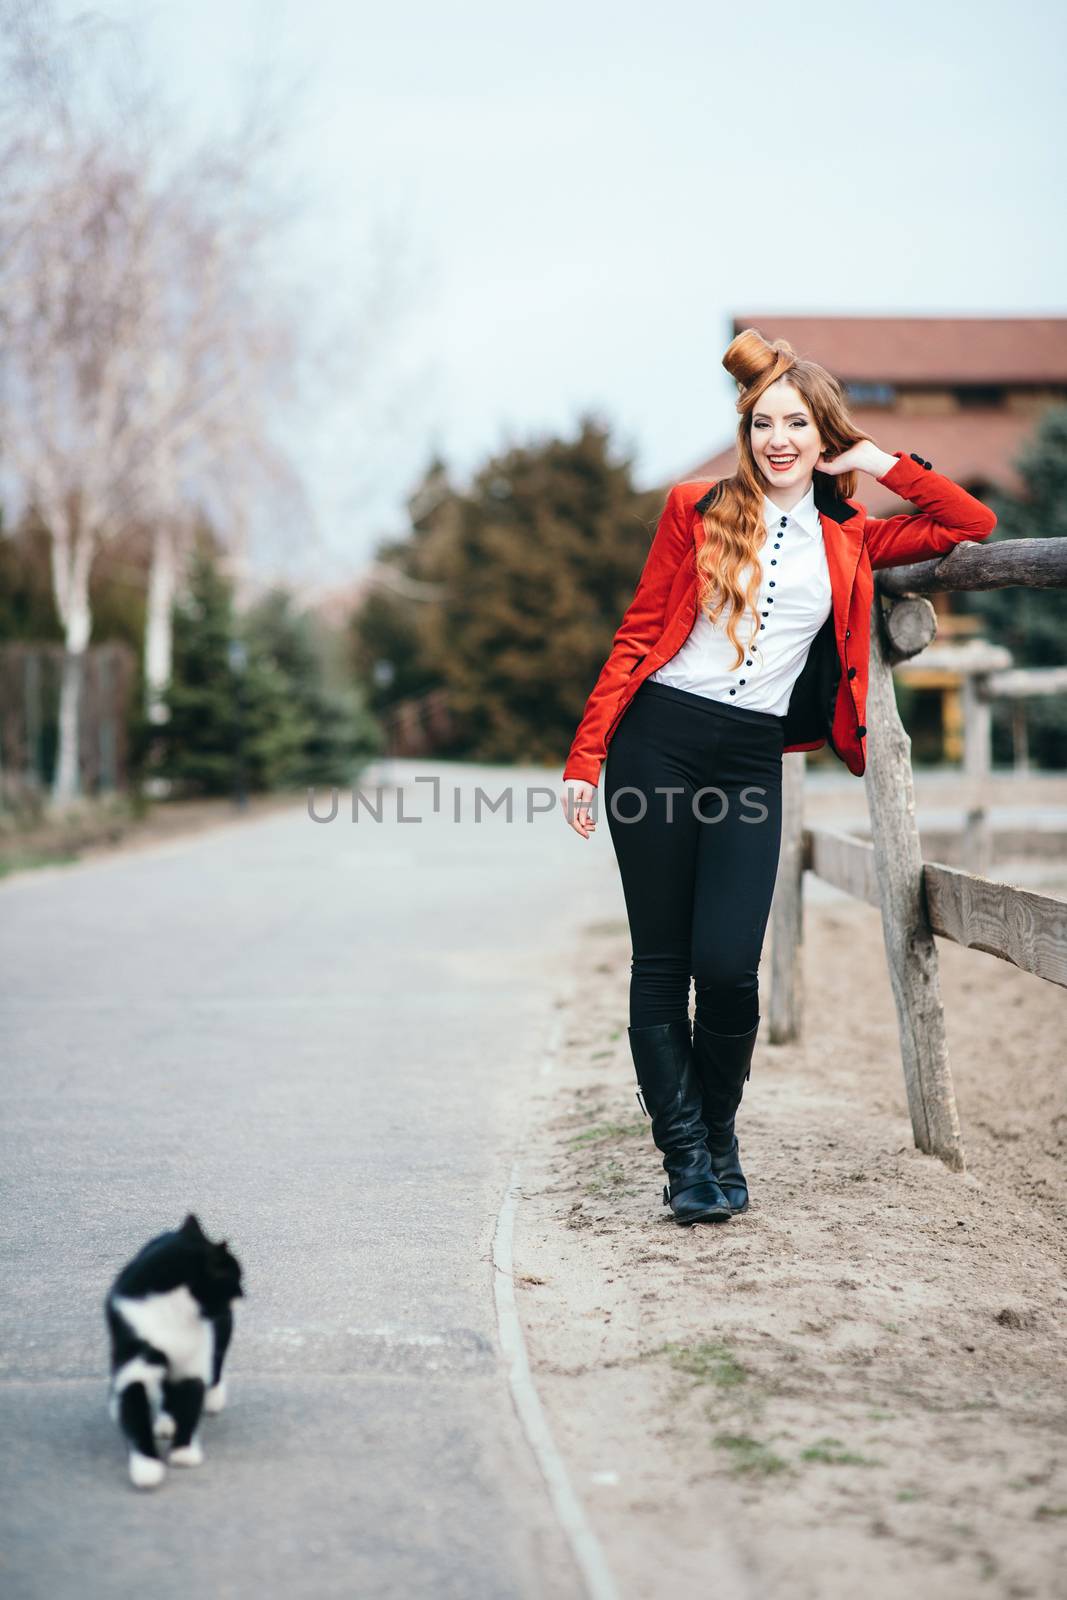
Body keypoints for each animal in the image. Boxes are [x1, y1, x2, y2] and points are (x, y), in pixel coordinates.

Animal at [104, 1209, 244, 1484]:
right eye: (234, 1277)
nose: (244, 1292)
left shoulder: (194, 1360)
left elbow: (190, 1400)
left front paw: (183, 1452)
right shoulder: (134, 1363)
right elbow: (135, 1413)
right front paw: (146, 1466)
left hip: (219, 1333)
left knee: (215, 1363)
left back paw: (211, 1399)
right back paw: (166, 1420)